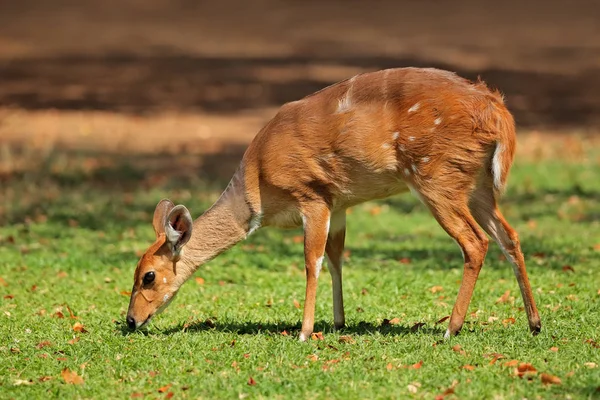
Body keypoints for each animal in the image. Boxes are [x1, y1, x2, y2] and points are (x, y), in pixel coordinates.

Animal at [126, 67, 544, 340]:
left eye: (148, 276)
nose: (130, 320)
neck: (257, 191)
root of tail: (498, 112)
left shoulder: (311, 195)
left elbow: (312, 262)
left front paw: (305, 332)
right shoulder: (339, 202)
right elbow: (336, 257)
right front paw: (339, 322)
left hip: (436, 177)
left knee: (475, 242)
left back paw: (450, 330)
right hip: (477, 184)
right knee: (509, 236)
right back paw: (534, 323)